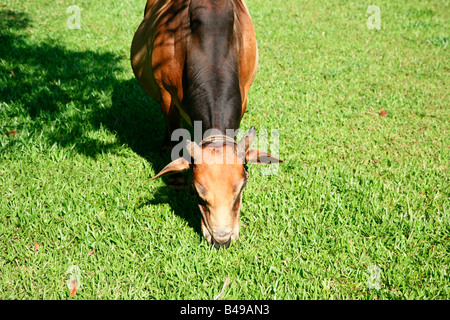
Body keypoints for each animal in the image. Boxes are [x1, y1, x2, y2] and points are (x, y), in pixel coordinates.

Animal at [130, 0, 284, 249]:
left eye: (241, 188)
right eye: (197, 192)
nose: (221, 240)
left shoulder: (244, 92)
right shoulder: (165, 93)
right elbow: (173, 132)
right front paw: (175, 178)